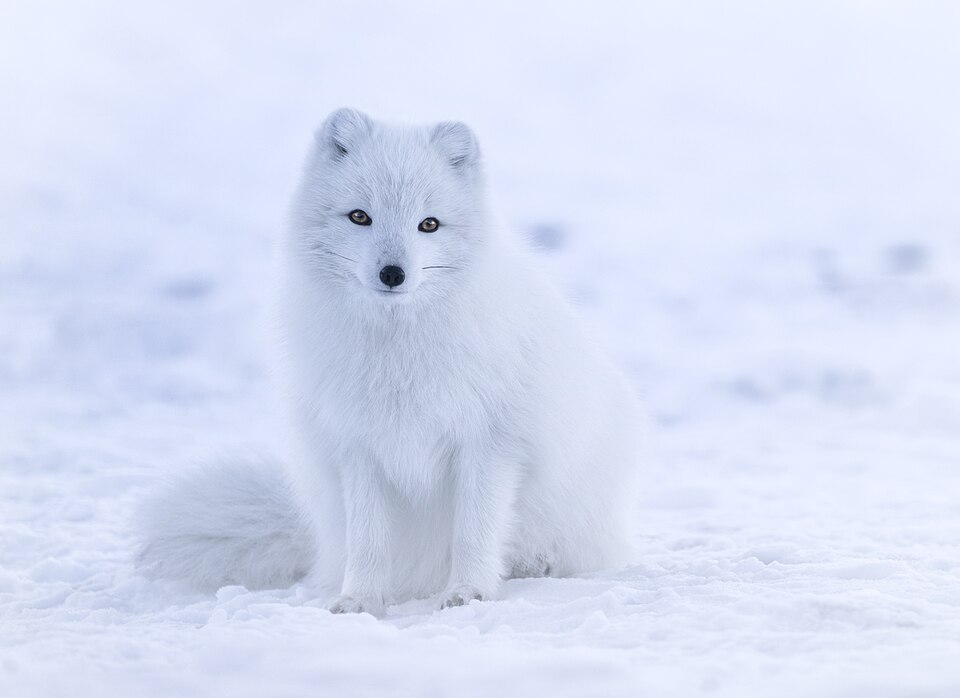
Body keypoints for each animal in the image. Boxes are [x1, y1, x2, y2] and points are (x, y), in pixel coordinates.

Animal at [138, 108, 643, 614]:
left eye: (429, 225)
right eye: (360, 216)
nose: (393, 273)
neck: (398, 351)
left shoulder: (490, 443)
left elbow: (474, 531)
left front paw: (468, 592)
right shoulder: (359, 446)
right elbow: (368, 540)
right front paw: (359, 600)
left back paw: (534, 564)